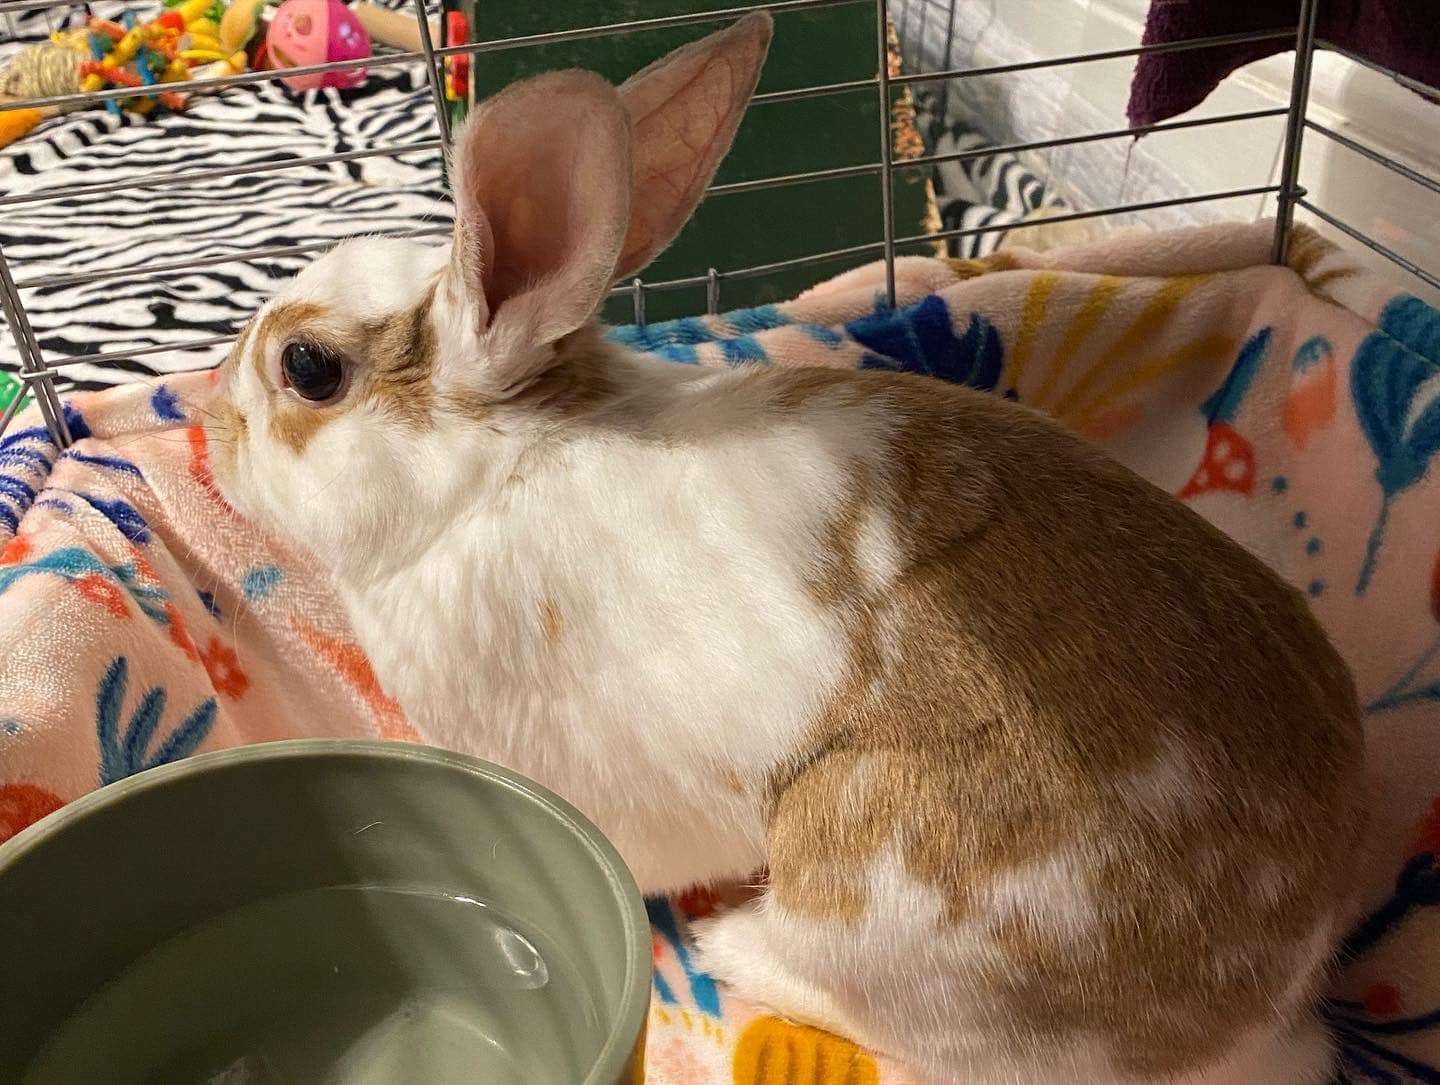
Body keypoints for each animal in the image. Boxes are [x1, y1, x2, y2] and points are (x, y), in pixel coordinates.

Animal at [202, 13, 1365, 1085]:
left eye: (307, 368)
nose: (211, 432)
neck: (492, 473)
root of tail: (1273, 1006)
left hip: (873, 874)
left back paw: (731, 946)